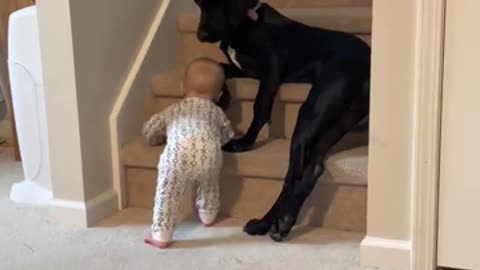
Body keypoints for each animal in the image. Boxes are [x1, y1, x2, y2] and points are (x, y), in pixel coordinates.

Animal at [193, 0, 370, 240]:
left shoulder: (273, 63)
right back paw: (285, 220)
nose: (201, 35)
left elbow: (261, 104)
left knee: (292, 174)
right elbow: (218, 68)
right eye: (199, 4)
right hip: (341, 118)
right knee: (314, 166)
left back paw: (267, 222)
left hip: (314, 106)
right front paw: (222, 98)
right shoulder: (248, 70)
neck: (244, 24)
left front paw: (245, 142)